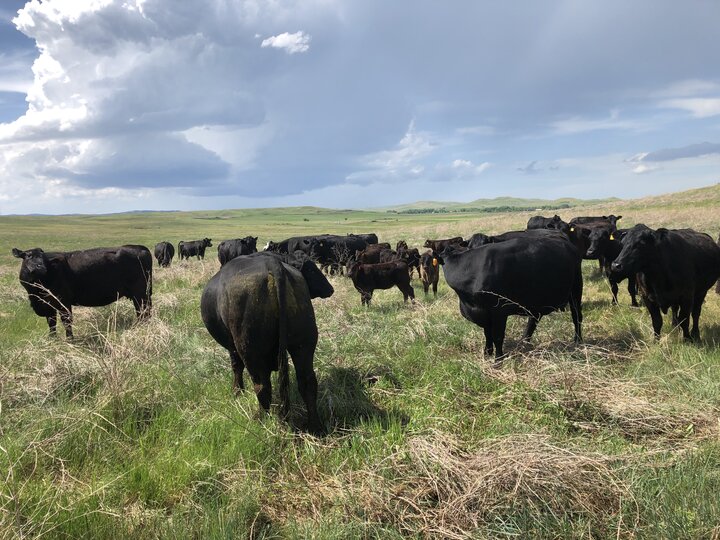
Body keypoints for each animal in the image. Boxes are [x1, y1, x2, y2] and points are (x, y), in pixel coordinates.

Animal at [11, 245, 153, 338]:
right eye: (28, 256)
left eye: (44, 258)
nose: (40, 268)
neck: (36, 292)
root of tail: (139, 248)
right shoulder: (47, 306)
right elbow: (51, 323)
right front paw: (52, 339)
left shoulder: (63, 302)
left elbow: (66, 321)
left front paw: (70, 340)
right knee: (142, 311)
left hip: (141, 293)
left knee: (144, 311)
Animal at [197, 252, 332, 434]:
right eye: (311, 269)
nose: (330, 289)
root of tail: (272, 262)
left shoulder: (233, 347)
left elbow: (236, 367)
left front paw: (237, 392)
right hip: (304, 343)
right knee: (307, 382)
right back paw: (315, 427)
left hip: (249, 349)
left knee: (262, 387)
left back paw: (259, 420)